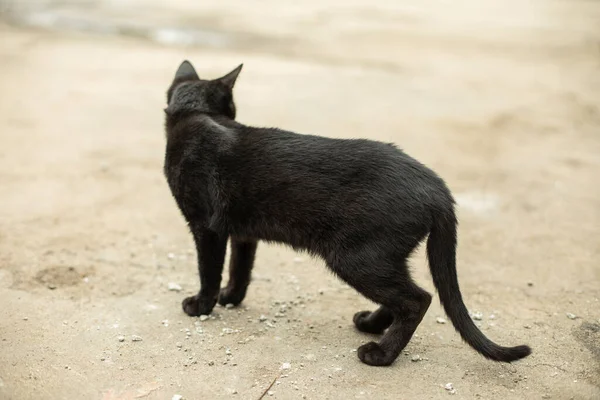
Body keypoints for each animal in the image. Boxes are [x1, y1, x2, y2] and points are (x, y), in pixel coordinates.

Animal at [163, 60, 528, 366]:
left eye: (232, 108)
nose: (235, 114)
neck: (194, 116)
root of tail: (438, 187)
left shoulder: (206, 227)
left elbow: (209, 270)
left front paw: (202, 305)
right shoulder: (243, 233)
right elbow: (240, 268)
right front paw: (231, 297)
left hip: (354, 257)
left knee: (417, 299)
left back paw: (381, 353)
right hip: (378, 257)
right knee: (405, 295)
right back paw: (370, 324)